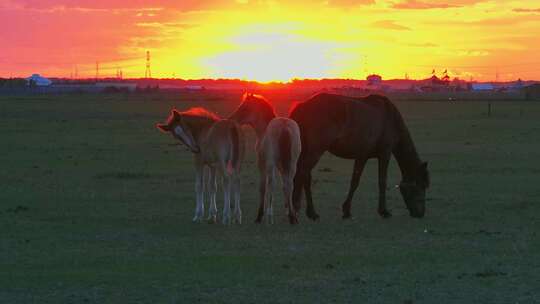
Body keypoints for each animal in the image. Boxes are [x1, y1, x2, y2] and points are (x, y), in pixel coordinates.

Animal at [229, 94, 302, 224]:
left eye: (245, 107)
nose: (232, 120)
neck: (263, 130)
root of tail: (284, 125)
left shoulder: (262, 164)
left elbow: (263, 187)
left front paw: (260, 215)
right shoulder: (281, 166)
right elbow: (285, 185)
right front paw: (289, 212)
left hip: (271, 164)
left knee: (272, 183)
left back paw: (269, 215)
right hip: (292, 164)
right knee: (290, 183)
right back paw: (292, 217)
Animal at [288, 91, 428, 222]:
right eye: (421, 186)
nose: (421, 214)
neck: (390, 118)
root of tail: (303, 106)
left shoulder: (362, 156)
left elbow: (355, 182)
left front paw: (346, 210)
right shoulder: (385, 154)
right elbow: (382, 181)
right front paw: (384, 211)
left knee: (305, 177)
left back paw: (312, 213)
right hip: (315, 151)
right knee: (302, 174)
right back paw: (295, 211)